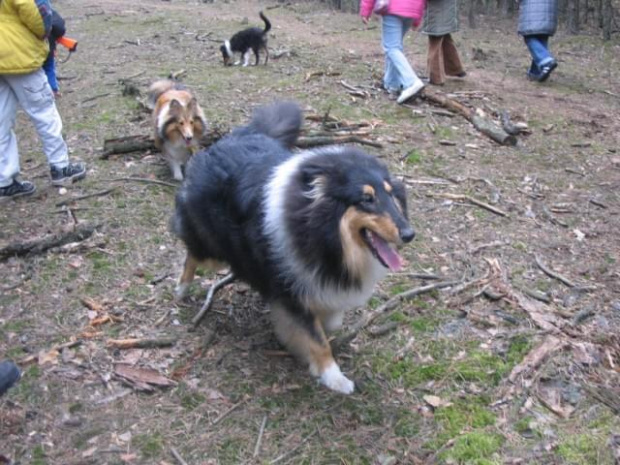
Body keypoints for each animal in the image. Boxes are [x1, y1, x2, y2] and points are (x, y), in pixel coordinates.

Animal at [172, 101, 414, 392]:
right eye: (367, 199)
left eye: (391, 194)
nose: (409, 234)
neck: (323, 235)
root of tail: (228, 139)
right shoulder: (291, 293)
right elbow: (317, 339)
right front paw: (333, 376)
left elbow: (332, 321)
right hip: (212, 249)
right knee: (191, 254)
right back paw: (181, 289)